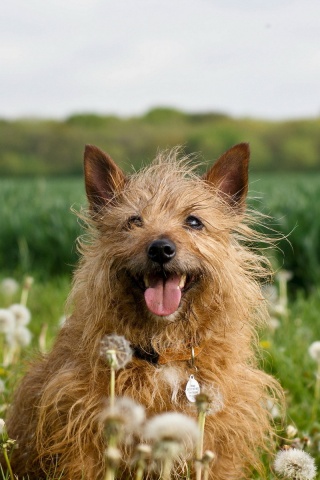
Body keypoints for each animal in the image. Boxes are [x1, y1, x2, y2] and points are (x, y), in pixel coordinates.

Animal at [4, 142, 280, 480]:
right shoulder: (83, 437)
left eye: (194, 221)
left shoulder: (219, 444)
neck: (164, 349)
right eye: (134, 221)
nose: (160, 248)